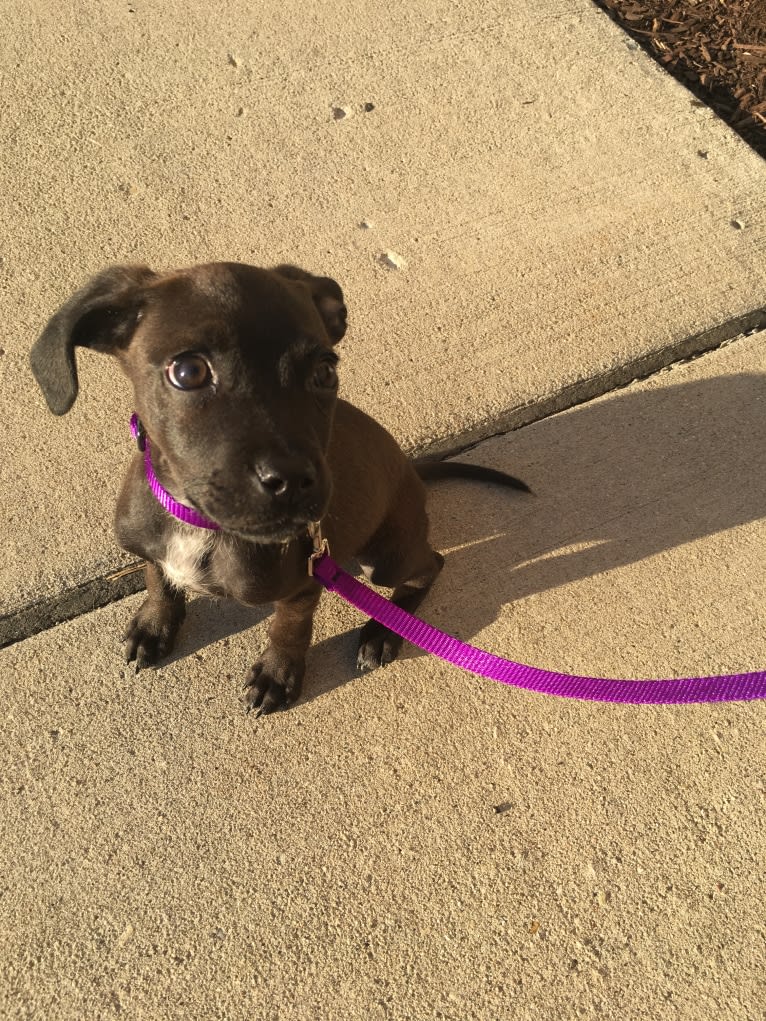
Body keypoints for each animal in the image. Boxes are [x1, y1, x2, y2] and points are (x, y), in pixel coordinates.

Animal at [32, 261, 531, 710]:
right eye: (188, 372)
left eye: (324, 371)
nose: (294, 482)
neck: (197, 523)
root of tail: (412, 469)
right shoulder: (153, 550)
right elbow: (158, 578)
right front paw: (155, 625)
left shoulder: (302, 585)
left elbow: (288, 631)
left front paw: (277, 675)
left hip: (385, 555)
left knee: (429, 565)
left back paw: (383, 632)